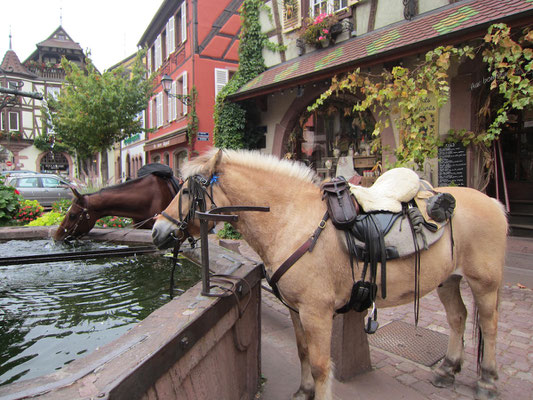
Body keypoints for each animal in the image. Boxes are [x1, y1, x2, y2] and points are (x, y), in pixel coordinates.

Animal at [151, 150, 508, 400]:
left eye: (186, 191)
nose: (157, 230)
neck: (292, 220)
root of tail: (492, 201)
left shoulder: (317, 313)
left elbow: (322, 366)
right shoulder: (297, 310)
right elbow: (303, 353)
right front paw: (303, 390)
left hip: (485, 282)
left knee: (489, 326)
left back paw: (488, 380)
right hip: (448, 279)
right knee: (458, 318)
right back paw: (448, 369)